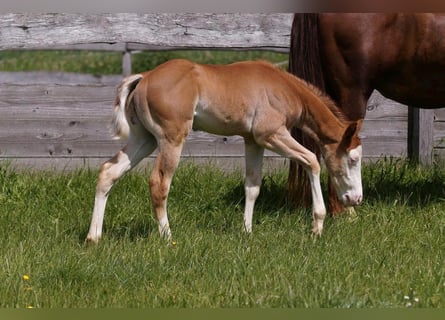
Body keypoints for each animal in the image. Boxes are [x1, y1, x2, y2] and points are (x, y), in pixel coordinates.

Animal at [86, 58, 360, 242]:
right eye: (353, 159)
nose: (356, 199)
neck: (283, 86)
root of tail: (145, 77)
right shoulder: (271, 135)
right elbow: (312, 160)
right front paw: (317, 226)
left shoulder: (253, 141)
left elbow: (252, 187)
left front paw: (247, 231)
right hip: (171, 139)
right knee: (159, 183)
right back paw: (168, 237)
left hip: (144, 140)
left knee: (108, 172)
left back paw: (93, 237)